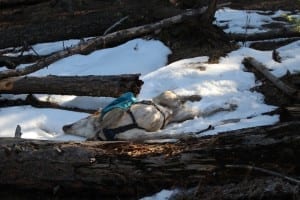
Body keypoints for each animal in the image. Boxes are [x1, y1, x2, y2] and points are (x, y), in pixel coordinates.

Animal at [63, 90, 237, 141]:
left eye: (80, 119)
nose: (64, 126)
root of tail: (171, 111)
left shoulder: (114, 112)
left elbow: (104, 120)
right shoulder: (139, 135)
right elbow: (165, 134)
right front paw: (186, 134)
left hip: (168, 97)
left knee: (180, 95)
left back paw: (196, 96)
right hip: (185, 114)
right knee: (207, 109)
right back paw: (228, 107)